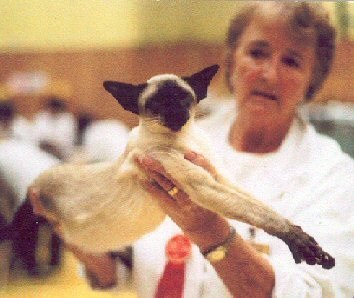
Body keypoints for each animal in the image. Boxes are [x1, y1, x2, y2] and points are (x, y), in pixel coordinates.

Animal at [29, 65, 334, 270]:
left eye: (183, 98)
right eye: (157, 103)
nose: (176, 112)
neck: (185, 140)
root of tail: (36, 184)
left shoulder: (219, 177)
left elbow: (264, 208)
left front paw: (317, 251)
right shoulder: (205, 185)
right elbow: (263, 216)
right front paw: (303, 245)